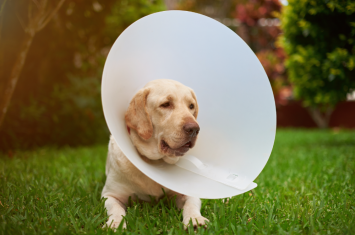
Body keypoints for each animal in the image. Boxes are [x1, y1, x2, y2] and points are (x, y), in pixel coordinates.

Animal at [101, 79, 209, 229]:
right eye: (166, 104)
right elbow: (115, 209)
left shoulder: (186, 193)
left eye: (191, 106)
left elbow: (191, 203)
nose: (194, 129)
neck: (154, 162)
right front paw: (115, 224)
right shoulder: (110, 195)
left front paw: (195, 219)